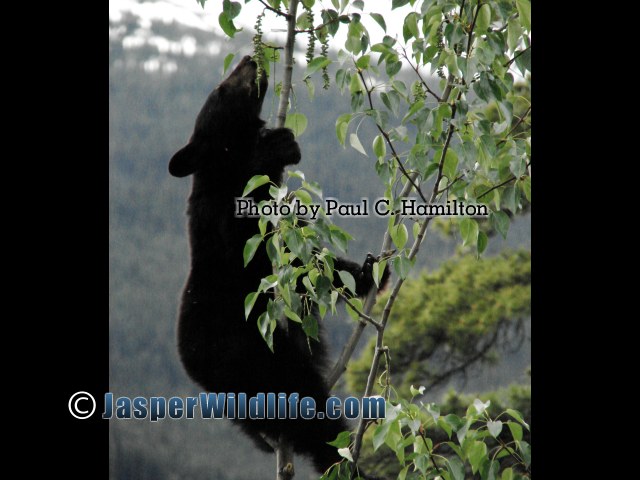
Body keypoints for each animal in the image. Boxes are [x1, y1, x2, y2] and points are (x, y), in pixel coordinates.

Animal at [168, 55, 387, 474]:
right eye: (221, 88)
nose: (249, 58)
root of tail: (198, 375)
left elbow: (311, 262)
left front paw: (368, 272)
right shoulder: (222, 222)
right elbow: (248, 239)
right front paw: (276, 146)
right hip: (259, 362)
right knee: (308, 411)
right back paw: (344, 462)